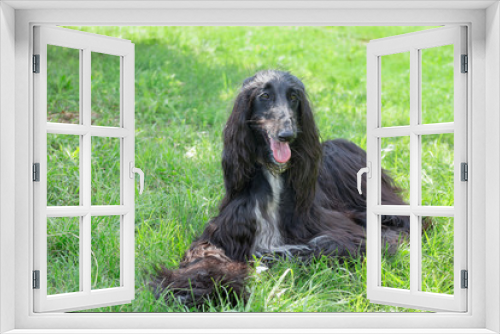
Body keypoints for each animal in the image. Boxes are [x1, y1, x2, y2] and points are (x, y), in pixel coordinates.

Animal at [152, 71, 410, 308]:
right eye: (264, 96)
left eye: (294, 97)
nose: (287, 134)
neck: (274, 177)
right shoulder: (220, 234)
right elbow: (205, 258)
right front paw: (203, 289)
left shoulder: (343, 230)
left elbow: (329, 243)